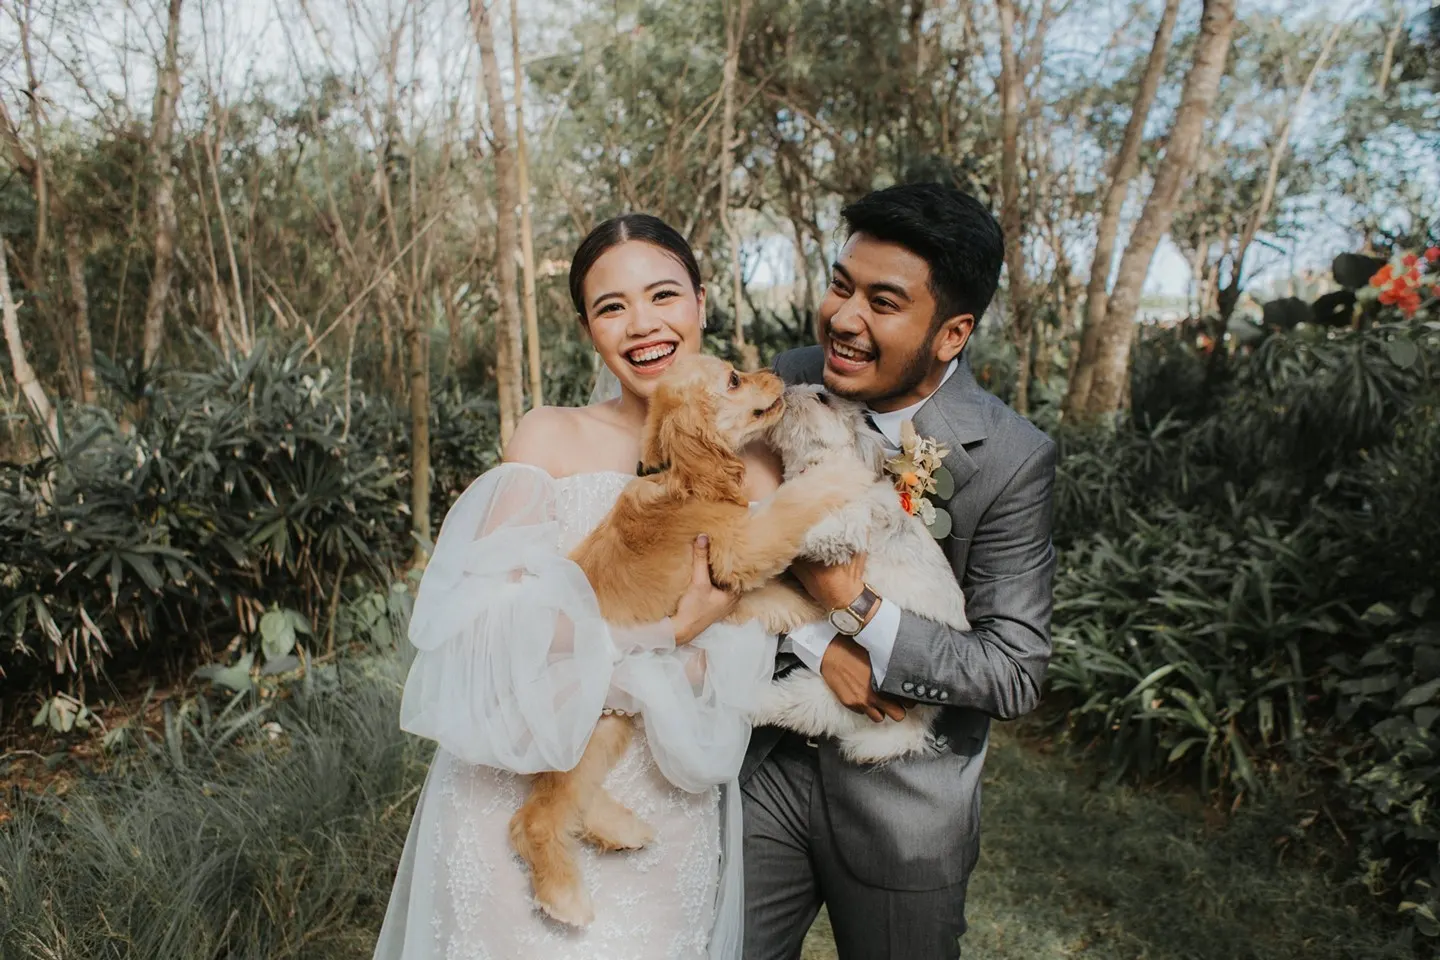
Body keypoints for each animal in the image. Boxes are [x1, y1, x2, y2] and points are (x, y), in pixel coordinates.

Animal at [506, 356, 864, 926]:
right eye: (734, 379)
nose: (773, 373)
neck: (687, 479)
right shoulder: (741, 545)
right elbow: (790, 507)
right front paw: (839, 476)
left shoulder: (730, 579)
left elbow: (773, 597)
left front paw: (810, 613)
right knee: (533, 818)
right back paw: (563, 896)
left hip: (606, 725)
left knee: (566, 795)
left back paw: (620, 829)